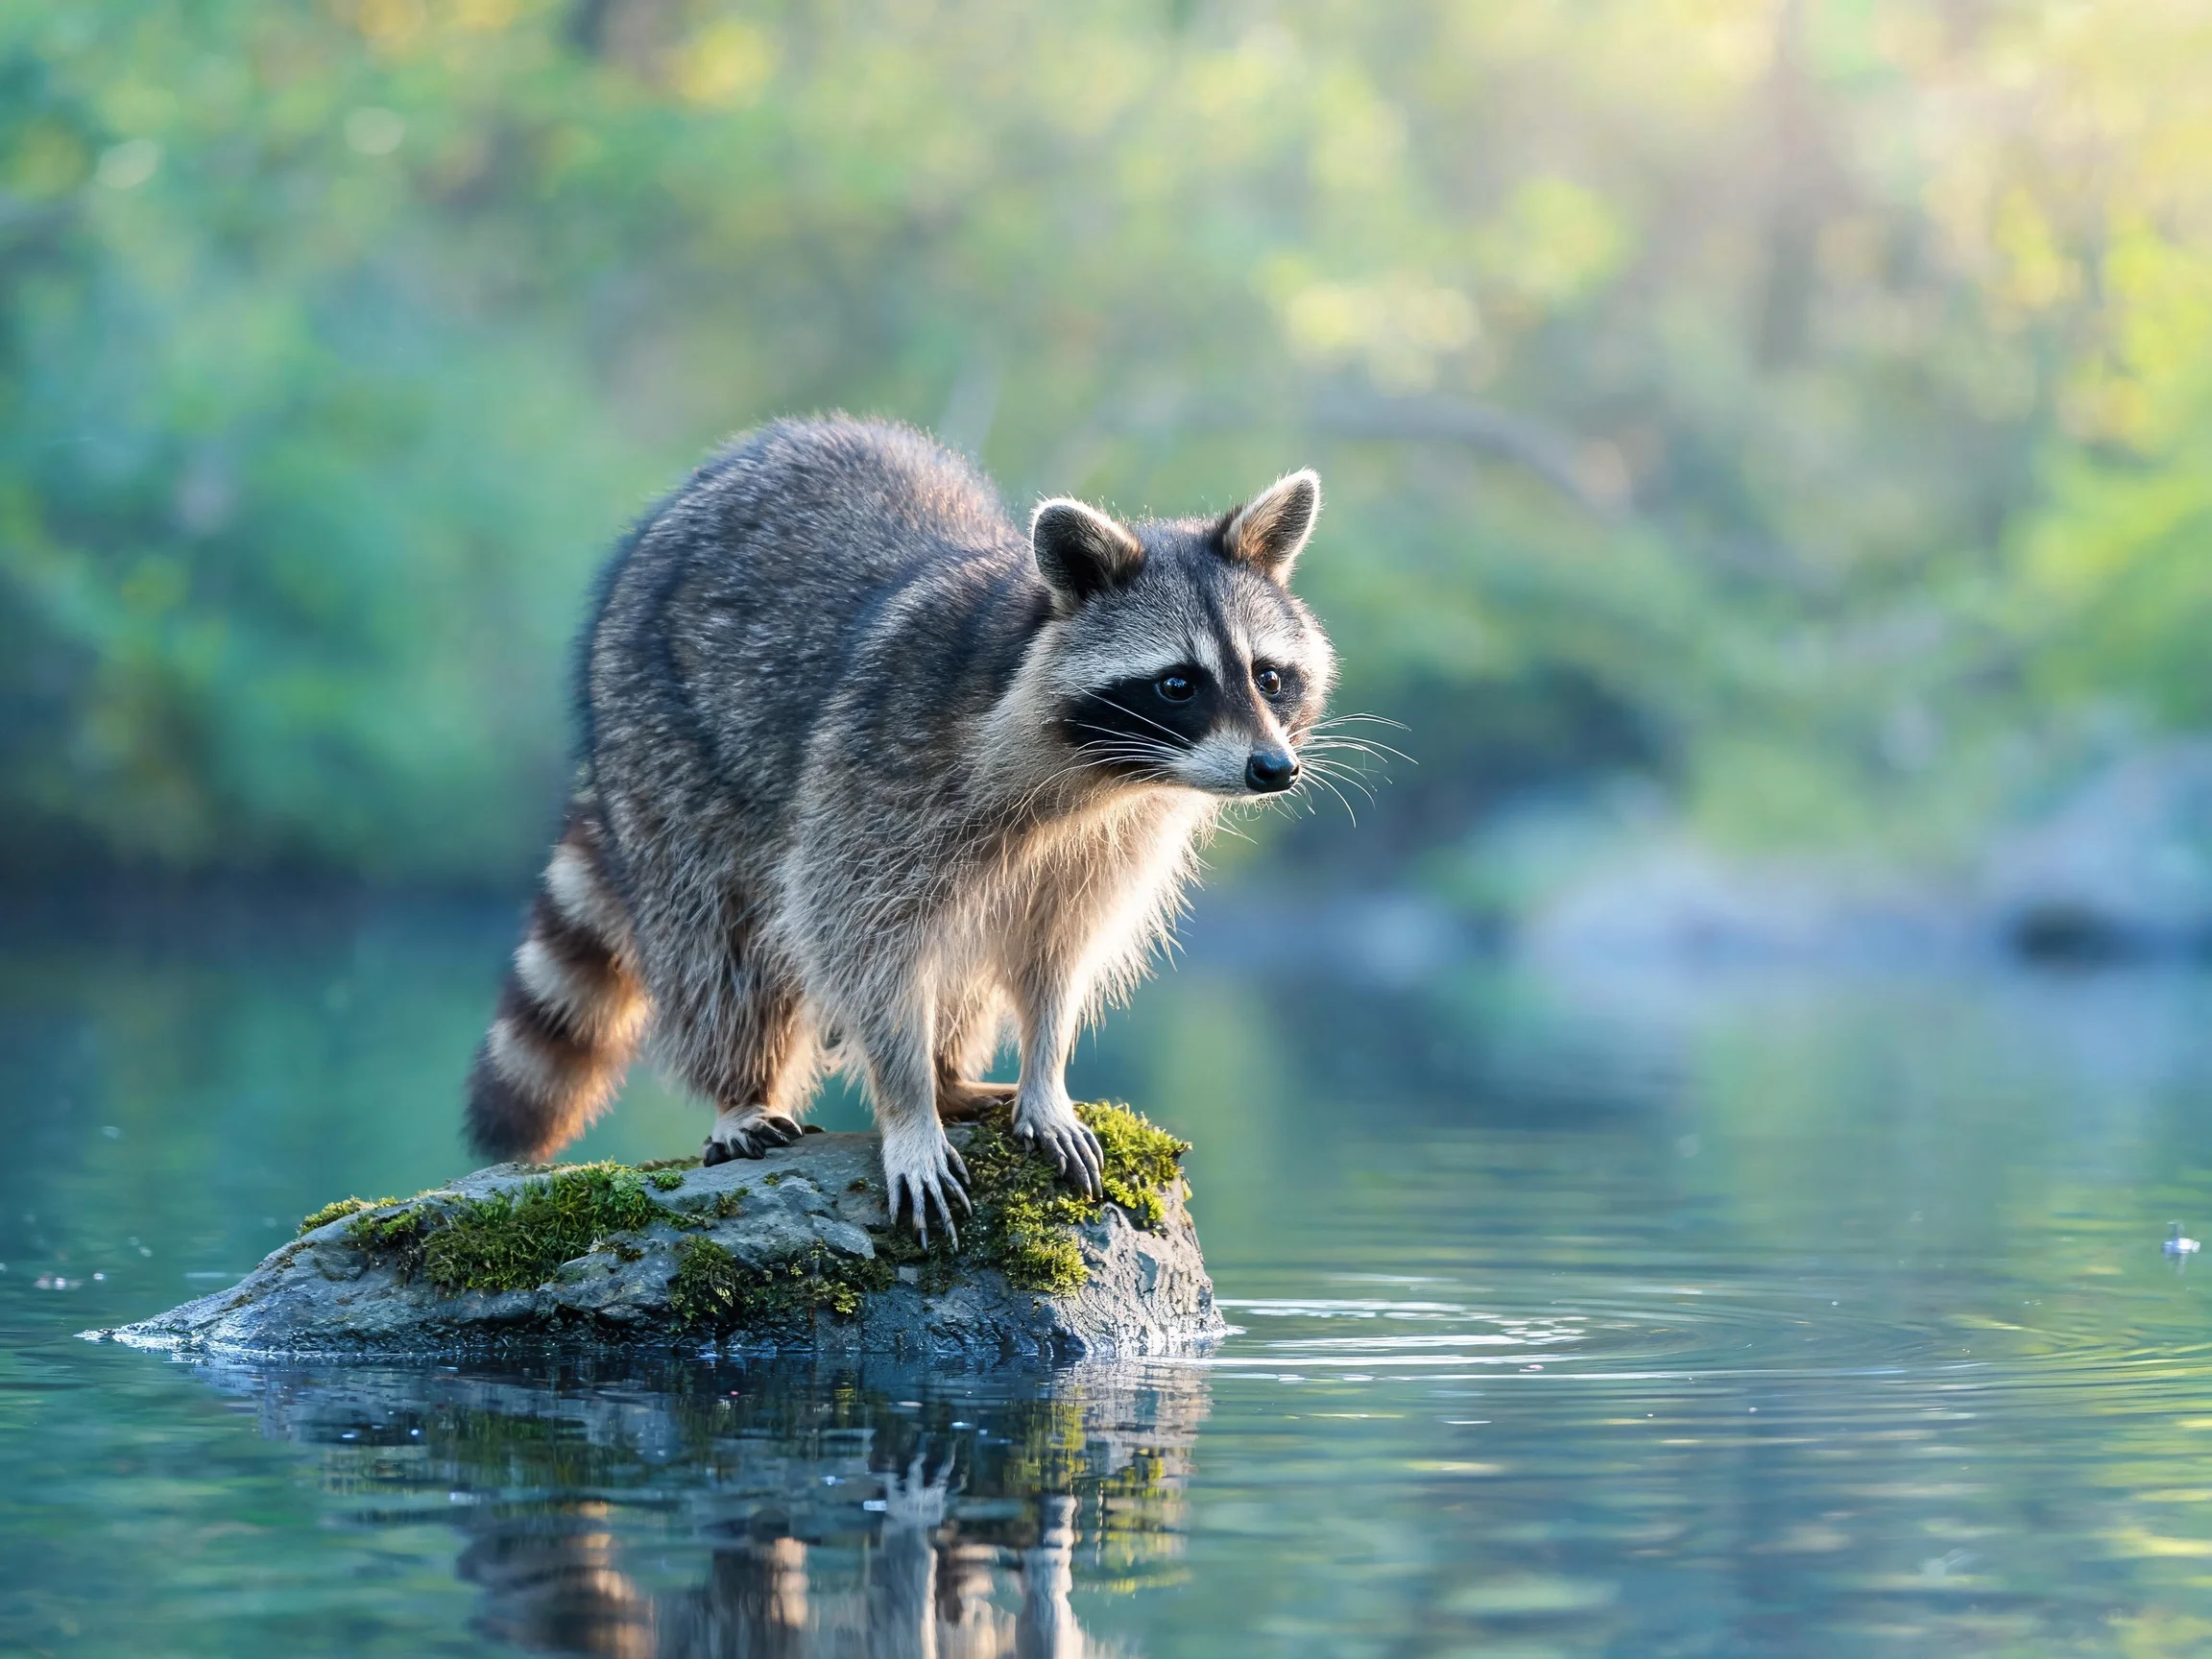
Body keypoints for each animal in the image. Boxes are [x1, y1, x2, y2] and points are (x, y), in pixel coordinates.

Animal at [465, 416, 1335, 1239]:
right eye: (1179, 684)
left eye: (1268, 676)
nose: (1273, 768)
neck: (1090, 778)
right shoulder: (879, 774)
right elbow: (858, 942)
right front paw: (908, 1107)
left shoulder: (1112, 837)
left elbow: (1059, 950)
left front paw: (1043, 1074)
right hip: (661, 741)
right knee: (719, 944)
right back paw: (747, 1086)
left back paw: (951, 1073)